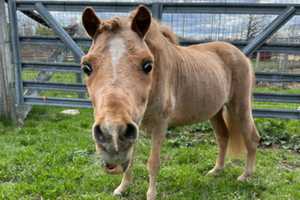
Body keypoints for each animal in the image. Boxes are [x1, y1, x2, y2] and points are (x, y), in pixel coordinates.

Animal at [79, 5, 260, 200]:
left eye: (148, 65)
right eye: (86, 67)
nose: (112, 135)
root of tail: (241, 55)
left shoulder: (160, 124)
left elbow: (153, 162)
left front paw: (151, 194)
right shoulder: (134, 124)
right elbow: (131, 160)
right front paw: (122, 188)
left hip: (240, 107)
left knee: (252, 138)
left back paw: (245, 176)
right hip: (216, 112)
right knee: (223, 137)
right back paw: (216, 171)